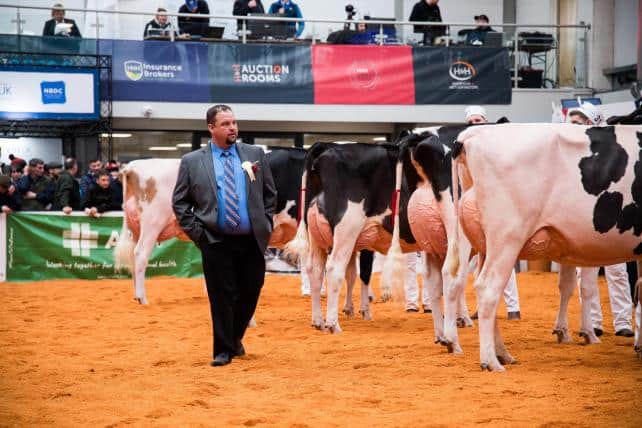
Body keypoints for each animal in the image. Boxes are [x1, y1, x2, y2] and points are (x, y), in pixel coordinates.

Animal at [448, 122, 640, 370]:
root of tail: (473, 134)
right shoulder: (590, 246)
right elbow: (586, 288)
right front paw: (587, 333)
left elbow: (568, 285)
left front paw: (565, 331)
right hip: (508, 236)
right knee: (486, 287)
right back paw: (490, 361)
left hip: (481, 243)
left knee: (459, 279)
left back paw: (484, 349)